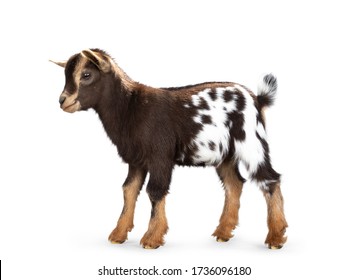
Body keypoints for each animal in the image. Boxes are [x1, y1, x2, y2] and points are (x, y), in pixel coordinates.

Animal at [51, 48, 288, 249]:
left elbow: (155, 190)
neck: (130, 107)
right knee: (234, 184)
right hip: (225, 154)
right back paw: (223, 232)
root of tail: (257, 98)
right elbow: (129, 189)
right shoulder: (136, 160)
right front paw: (118, 234)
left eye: (86, 75)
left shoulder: (160, 156)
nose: (63, 101)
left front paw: (152, 238)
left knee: (269, 179)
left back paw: (276, 237)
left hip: (251, 142)